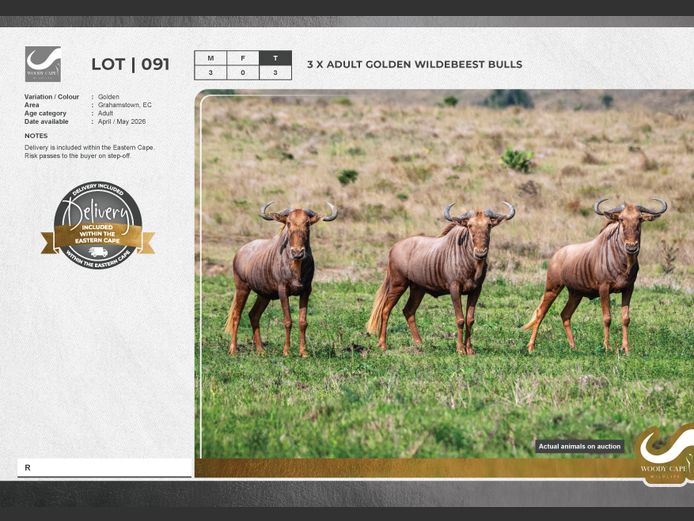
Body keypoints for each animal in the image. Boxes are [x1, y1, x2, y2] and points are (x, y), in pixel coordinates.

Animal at [224, 201, 337, 357]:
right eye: (288, 223)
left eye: (307, 223)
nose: (297, 253)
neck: (295, 267)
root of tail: (240, 252)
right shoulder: (283, 291)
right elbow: (288, 320)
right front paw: (286, 351)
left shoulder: (306, 291)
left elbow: (303, 322)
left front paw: (304, 352)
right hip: (242, 288)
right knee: (236, 315)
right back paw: (233, 350)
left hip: (264, 295)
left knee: (254, 315)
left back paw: (261, 350)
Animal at [366, 202, 516, 354]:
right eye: (469, 225)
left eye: (489, 225)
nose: (480, 253)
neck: (471, 262)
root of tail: (394, 248)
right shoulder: (454, 288)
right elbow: (460, 319)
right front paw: (460, 350)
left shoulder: (476, 290)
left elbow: (470, 319)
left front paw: (470, 350)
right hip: (398, 284)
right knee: (386, 310)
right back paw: (383, 345)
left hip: (418, 289)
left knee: (408, 311)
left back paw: (420, 344)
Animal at [522, 197, 668, 353]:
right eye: (621, 219)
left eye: (639, 219)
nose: (631, 247)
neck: (623, 262)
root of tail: (556, 255)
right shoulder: (604, 288)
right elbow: (607, 318)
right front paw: (607, 347)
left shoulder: (629, 289)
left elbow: (626, 319)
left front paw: (626, 348)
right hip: (552, 288)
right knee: (541, 313)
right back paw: (531, 347)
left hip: (575, 294)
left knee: (565, 314)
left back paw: (573, 347)